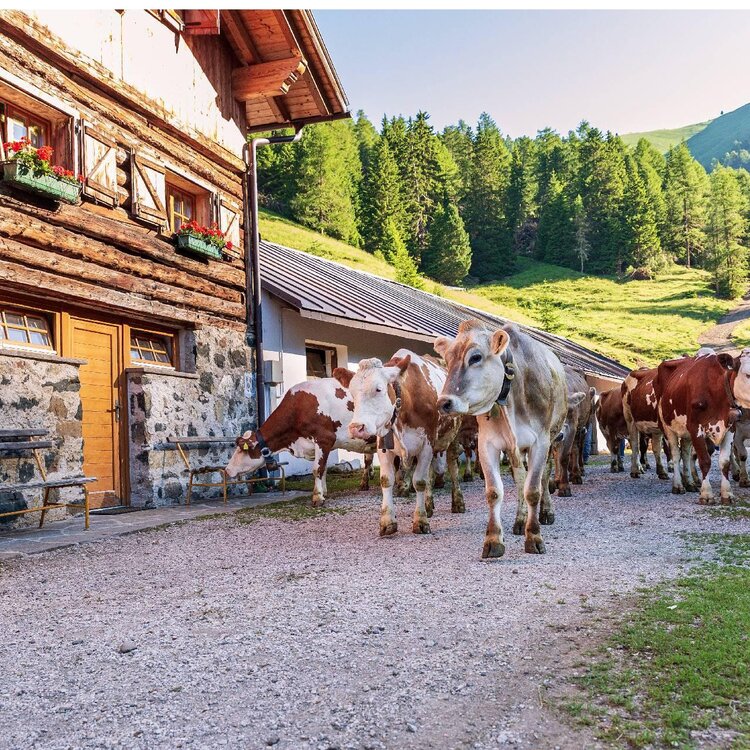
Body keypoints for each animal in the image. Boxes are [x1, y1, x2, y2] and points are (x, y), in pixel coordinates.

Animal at [225, 378, 374, 508]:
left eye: (241, 450)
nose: (227, 469)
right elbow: (324, 468)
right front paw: (324, 492)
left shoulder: (325, 439)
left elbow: (318, 469)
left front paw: (317, 497)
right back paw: (364, 484)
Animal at [340, 350, 464, 536]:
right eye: (352, 393)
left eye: (379, 389)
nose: (356, 428)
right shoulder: (384, 446)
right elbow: (386, 480)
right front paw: (387, 522)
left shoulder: (427, 444)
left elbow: (419, 481)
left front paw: (420, 521)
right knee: (430, 474)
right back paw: (428, 505)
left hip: (453, 438)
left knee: (453, 468)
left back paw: (458, 502)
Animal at [434, 318, 568, 560]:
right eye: (447, 360)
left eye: (475, 357)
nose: (444, 403)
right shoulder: (487, 444)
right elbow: (495, 492)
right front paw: (493, 540)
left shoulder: (540, 442)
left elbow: (533, 490)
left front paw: (534, 537)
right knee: (520, 478)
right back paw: (520, 520)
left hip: (552, 438)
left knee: (543, 477)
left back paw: (545, 513)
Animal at [656, 354, 740, 506]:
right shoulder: (696, 428)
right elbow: (705, 460)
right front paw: (706, 495)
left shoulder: (731, 427)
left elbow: (725, 462)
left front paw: (727, 494)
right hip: (667, 427)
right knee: (675, 455)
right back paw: (678, 485)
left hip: (686, 433)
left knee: (685, 453)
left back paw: (689, 483)